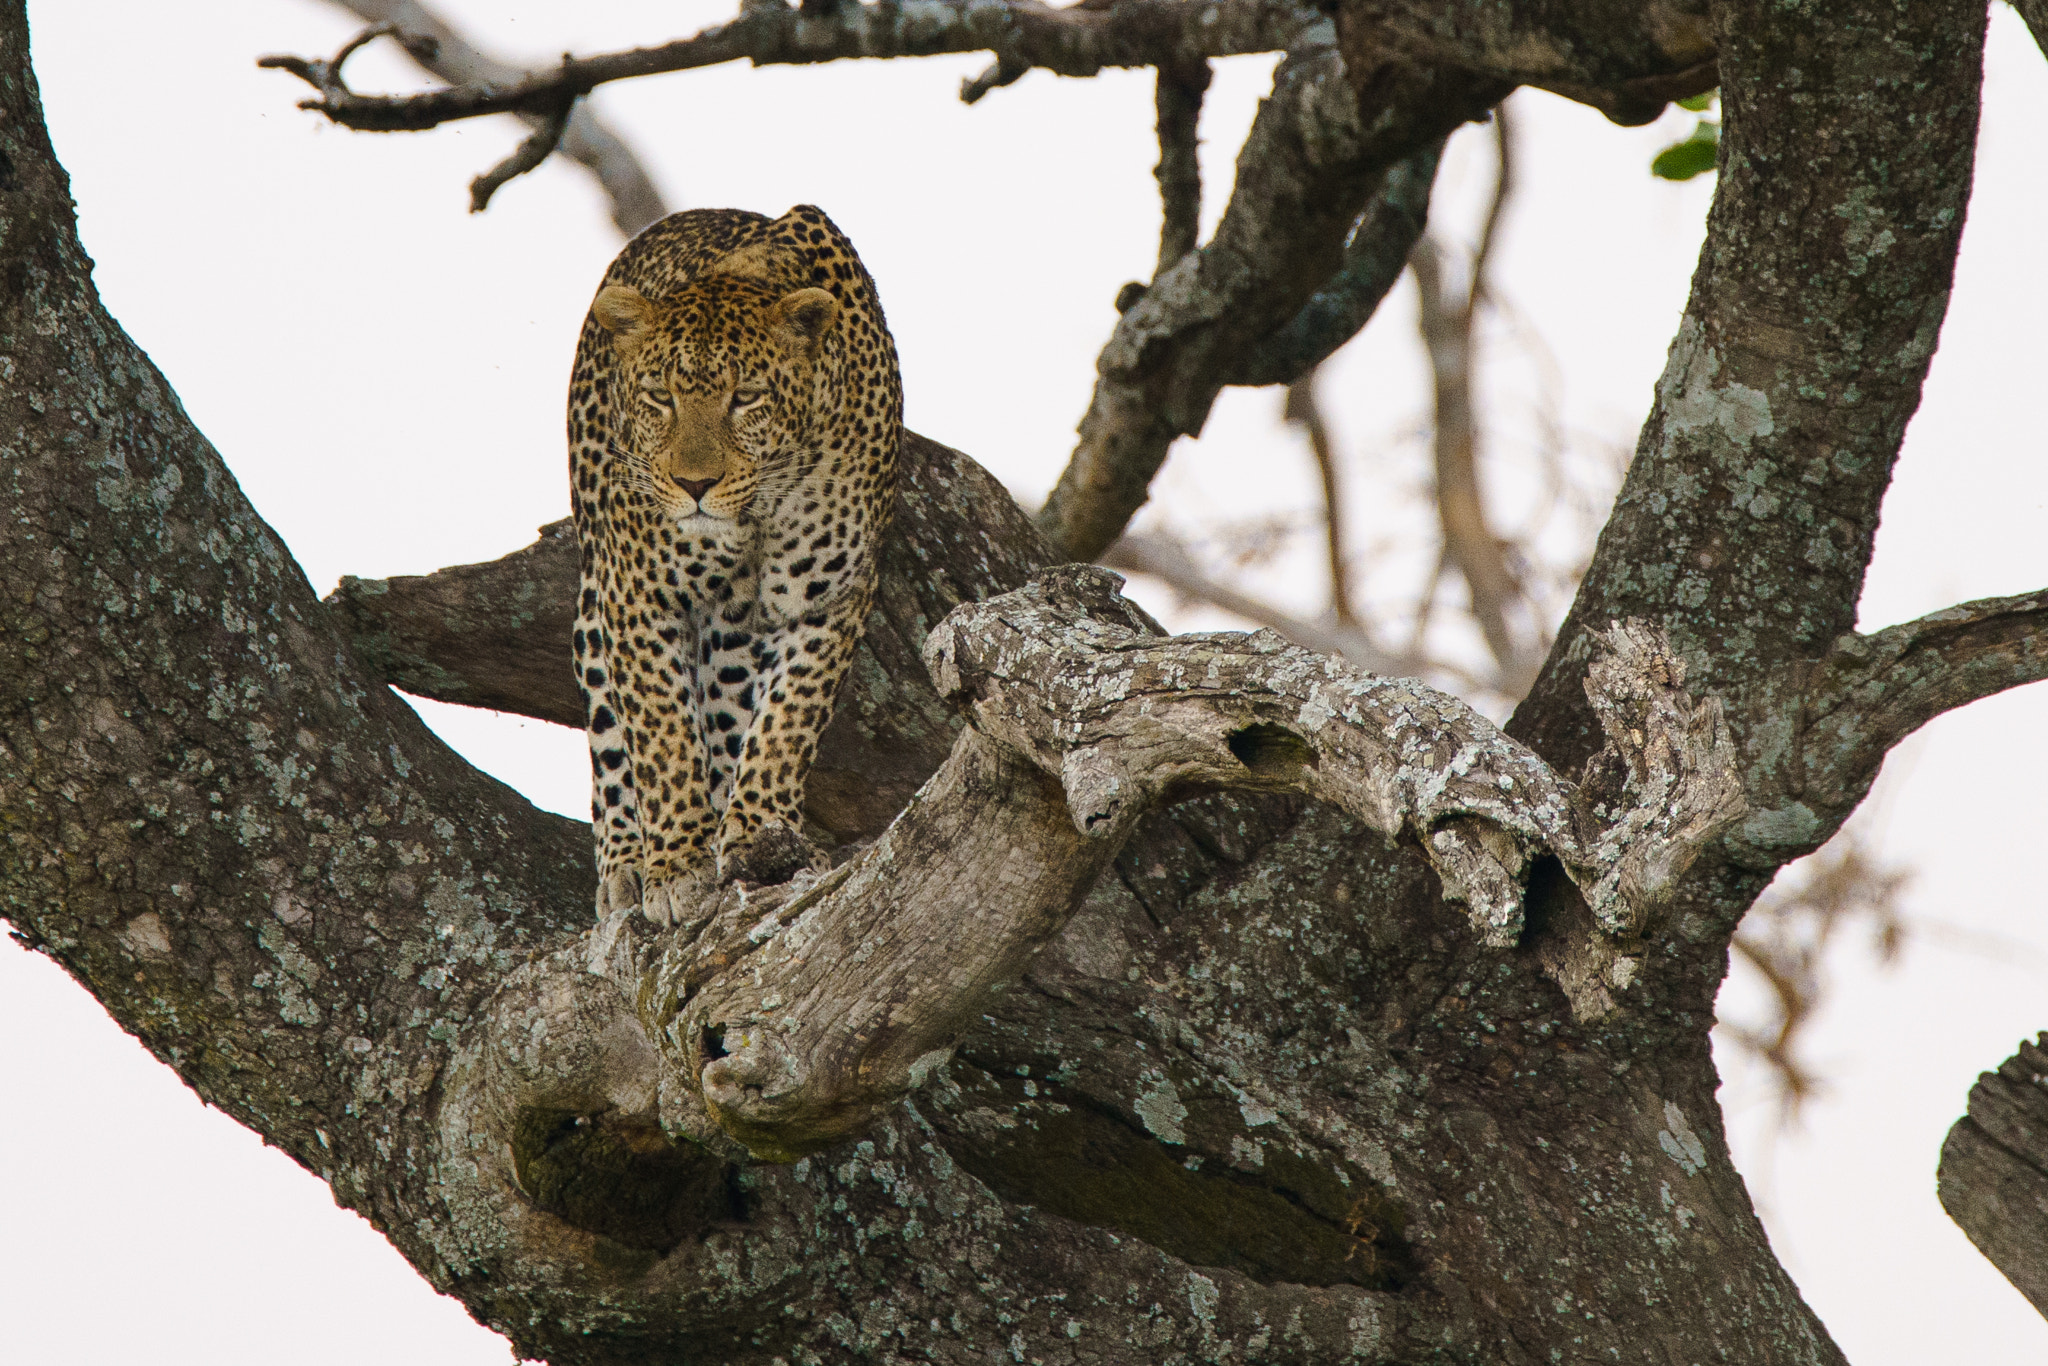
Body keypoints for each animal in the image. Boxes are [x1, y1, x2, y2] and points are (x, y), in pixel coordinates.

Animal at [569, 202, 905, 929]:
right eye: (659, 397)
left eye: (746, 397)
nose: (695, 484)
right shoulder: (639, 596)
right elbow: (663, 738)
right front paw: (675, 866)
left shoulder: (831, 597)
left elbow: (787, 721)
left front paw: (756, 833)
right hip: (595, 586)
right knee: (610, 729)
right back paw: (624, 865)